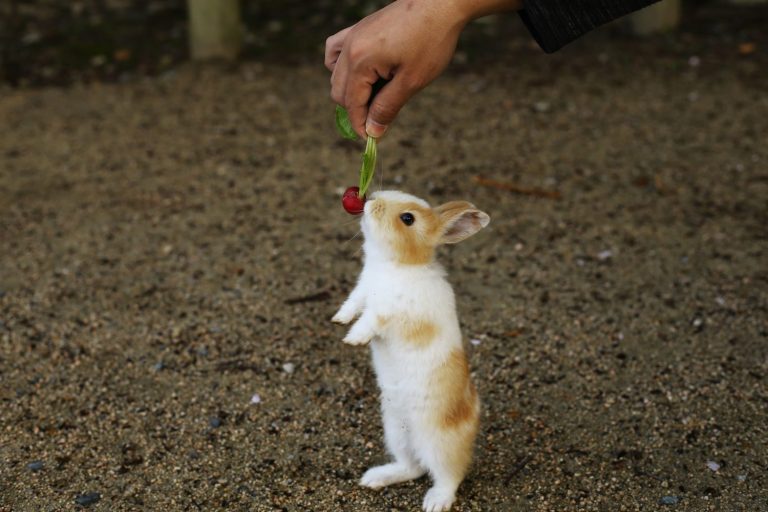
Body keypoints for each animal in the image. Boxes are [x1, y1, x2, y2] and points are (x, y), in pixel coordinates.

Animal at [332, 190, 490, 512]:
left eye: (408, 218)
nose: (371, 200)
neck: (398, 265)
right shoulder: (362, 291)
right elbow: (353, 304)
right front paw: (339, 320)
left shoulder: (391, 312)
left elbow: (370, 320)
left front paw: (353, 339)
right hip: (396, 432)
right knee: (413, 467)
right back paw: (374, 478)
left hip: (438, 443)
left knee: (449, 475)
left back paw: (434, 502)